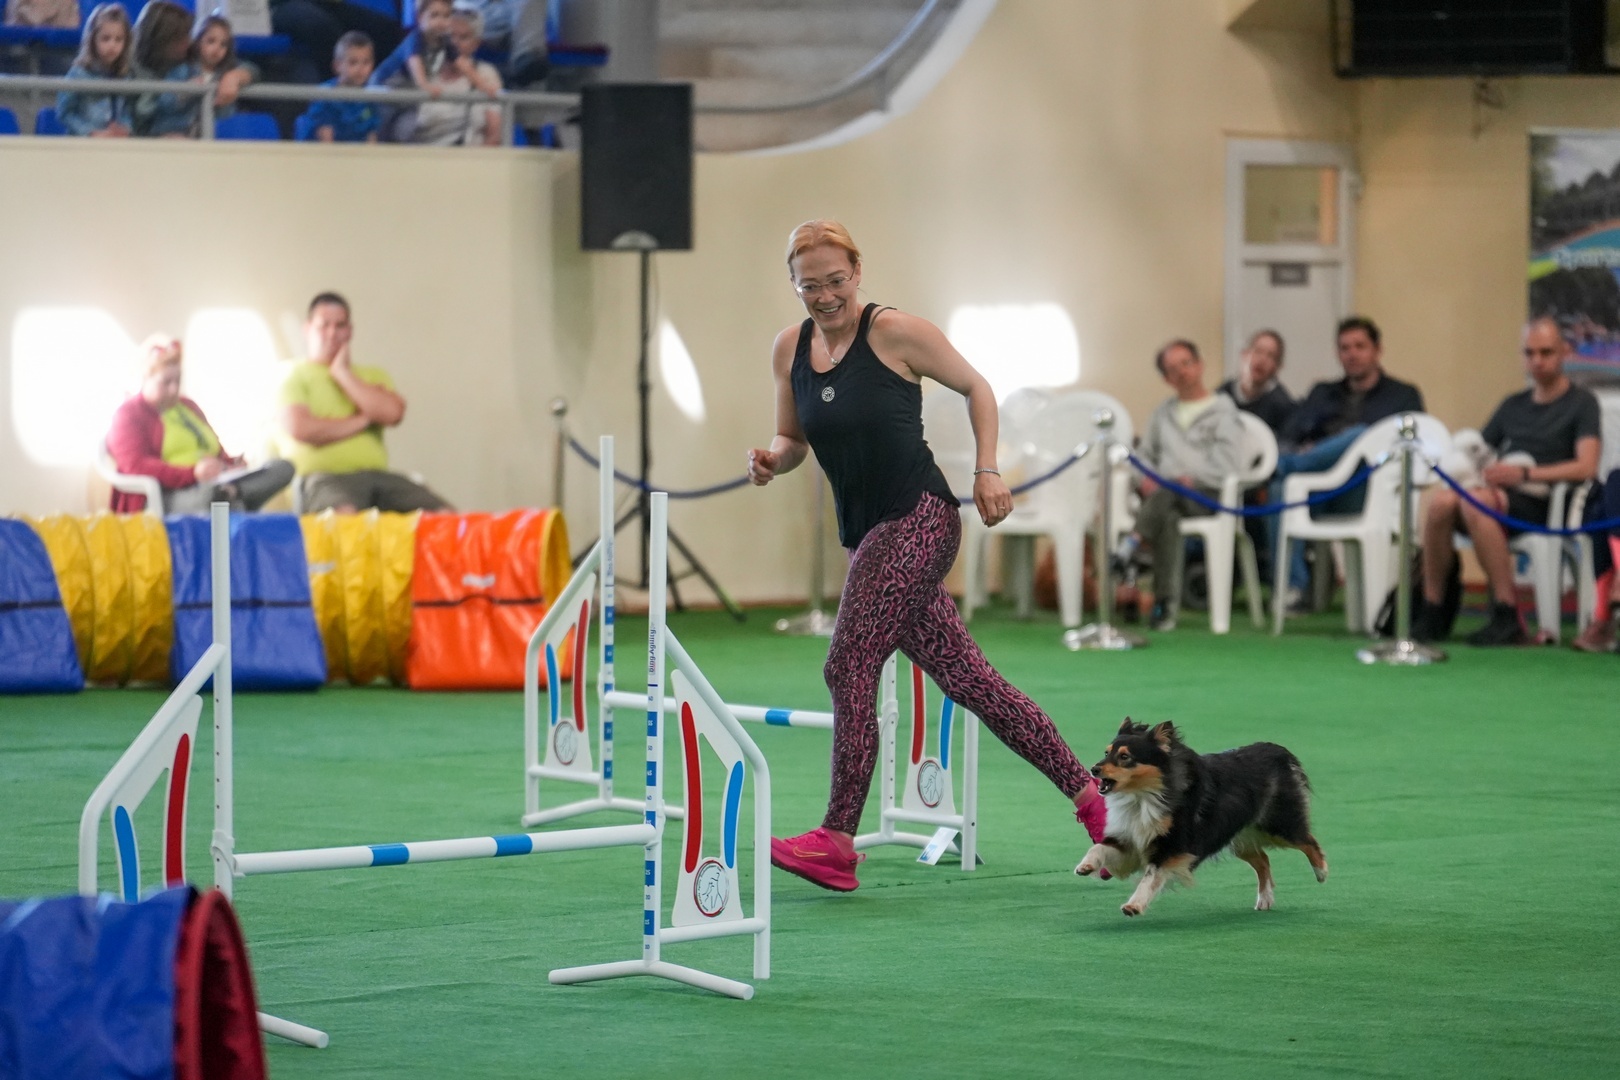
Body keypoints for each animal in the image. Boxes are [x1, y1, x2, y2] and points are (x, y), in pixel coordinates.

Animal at [1075, 719, 1327, 917]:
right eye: (1107, 752)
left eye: (1125, 756)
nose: (1094, 769)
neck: (1143, 796)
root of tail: (1280, 752)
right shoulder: (1130, 840)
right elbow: (1099, 847)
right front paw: (1085, 866)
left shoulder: (1172, 846)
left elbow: (1151, 877)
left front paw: (1134, 905)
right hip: (1236, 836)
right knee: (1263, 860)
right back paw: (1264, 900)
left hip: (1277, 825)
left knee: (1308, 840)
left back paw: (1321, 872)